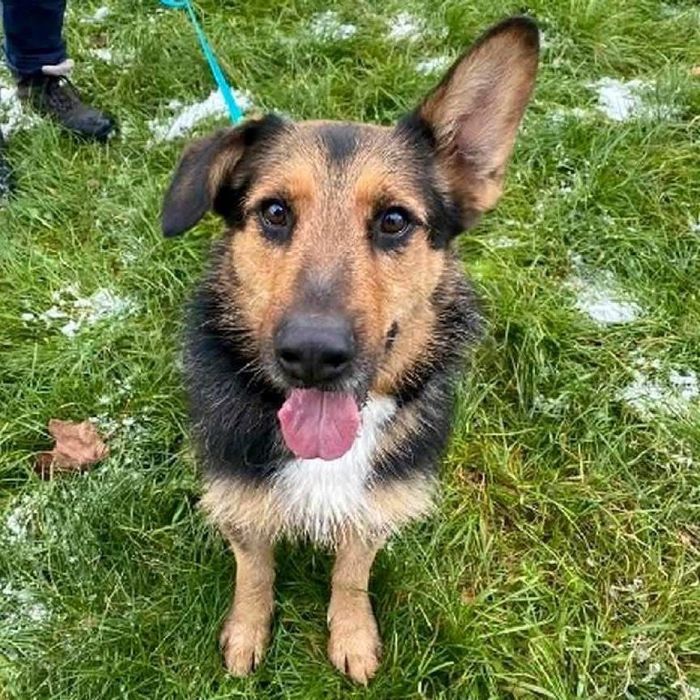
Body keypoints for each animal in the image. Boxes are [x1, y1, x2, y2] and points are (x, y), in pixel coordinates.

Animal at [161, 16, 539, 684]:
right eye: (275, 212)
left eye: (393, 221)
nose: (313, 354)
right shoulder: (238, 497)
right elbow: (253, 571)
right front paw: (246, 633)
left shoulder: (377, 504)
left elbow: (353, 574)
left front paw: (353, 635)